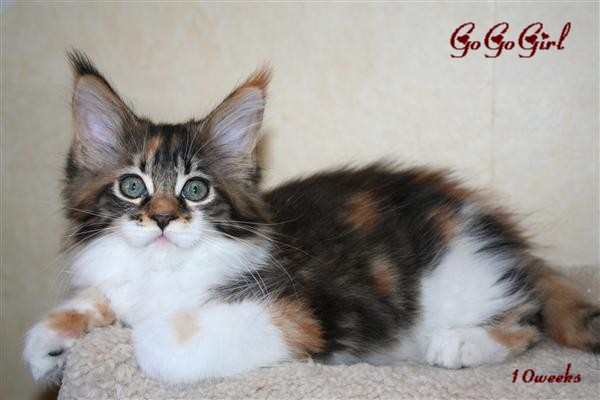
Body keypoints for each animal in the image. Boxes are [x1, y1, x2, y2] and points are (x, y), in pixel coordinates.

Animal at [23, 50, 599, 384]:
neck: (163, 271)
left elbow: (161, 338)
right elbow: (101, 297)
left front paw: (141, 333)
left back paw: (461, 342)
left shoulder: (303, 312)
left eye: (195, 190)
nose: (164, 219)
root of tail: (505, 236)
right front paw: (48, 341)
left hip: (459, 276)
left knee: (529, 322)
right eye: (132, 186)